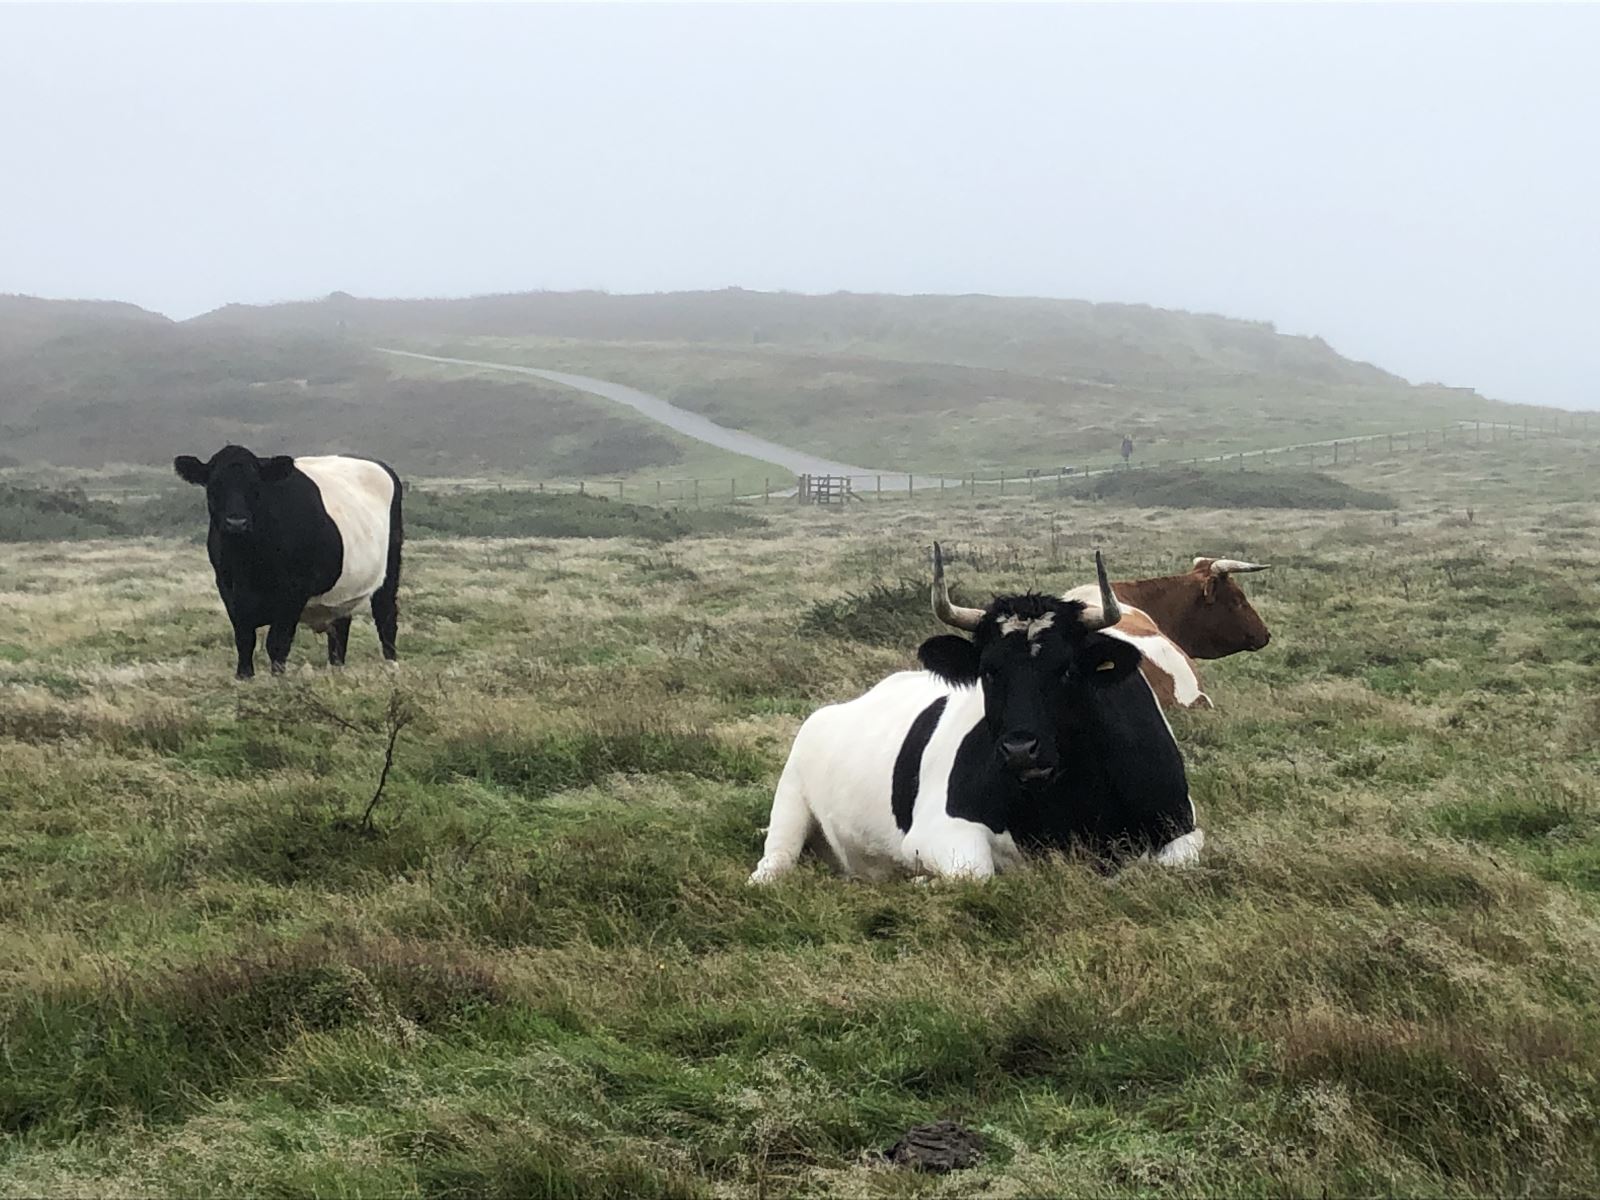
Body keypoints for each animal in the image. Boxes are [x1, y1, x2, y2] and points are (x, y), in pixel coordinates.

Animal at [170, 448, 400, 681]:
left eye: (256, 486)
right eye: (214, 485)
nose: (236, 523)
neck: (246, 563)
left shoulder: (293, 592)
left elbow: (277, 642)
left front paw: (278, 680)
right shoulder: (228, 588)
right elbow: (244, 639)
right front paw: (244, 677)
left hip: (390, 570)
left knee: (386, 617)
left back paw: (391, 668)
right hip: (341, 592)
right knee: (340, 629)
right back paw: (337, 672)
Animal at [752, 547, 1203, 883]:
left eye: (1067, 670)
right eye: (988, 670)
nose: (1020, 749)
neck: (1070, 806)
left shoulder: (1184, 827)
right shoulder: (936, 831)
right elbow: (976, 872)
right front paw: (922, 880)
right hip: (789, 800)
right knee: (772, 865)